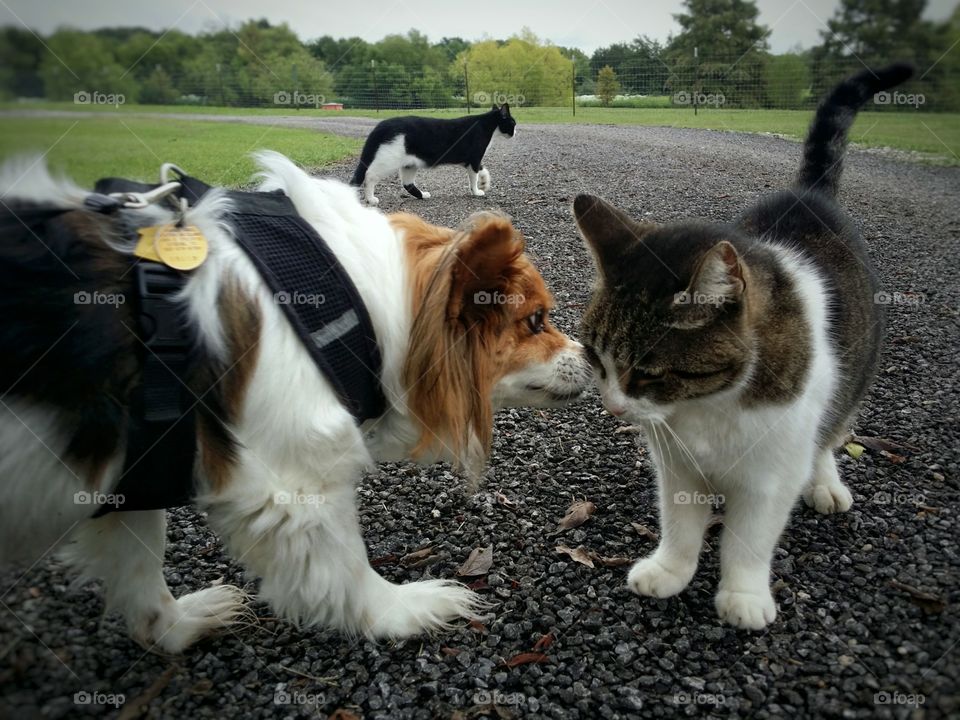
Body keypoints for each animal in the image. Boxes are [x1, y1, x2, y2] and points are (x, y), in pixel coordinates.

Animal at [0, 152, 592, 652]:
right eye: (535, 322)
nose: (592, 356)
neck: (351, 300)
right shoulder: (294, 487)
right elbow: (347, 566)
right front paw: (401, 609)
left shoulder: (135, 475)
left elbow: (140, 566)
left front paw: (173, 628)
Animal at [350, 101, 516, 204]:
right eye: (513, 123)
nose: (515, 132)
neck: (487, 125)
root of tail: (382, 125)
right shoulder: (475, 158)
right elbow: (473, 178)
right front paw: (476, 191)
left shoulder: (472, 161)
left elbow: (482, 169)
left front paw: (484, 182)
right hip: (389, 159)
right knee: (370, 175)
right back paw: (371, 199)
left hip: (409, 163)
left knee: (407, 183)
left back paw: (422, 195)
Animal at [572, 66, 912, 632]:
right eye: (596, 358)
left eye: (648, 372)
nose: (614, 408)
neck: (708, 406)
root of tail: (807, 193)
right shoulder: (676, 461)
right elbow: (681, 523)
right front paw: (671, 570)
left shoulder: (770, 478)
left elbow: (749, 540)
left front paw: (744, 594)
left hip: (851, 375)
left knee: (831, 432)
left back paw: (825, 481)